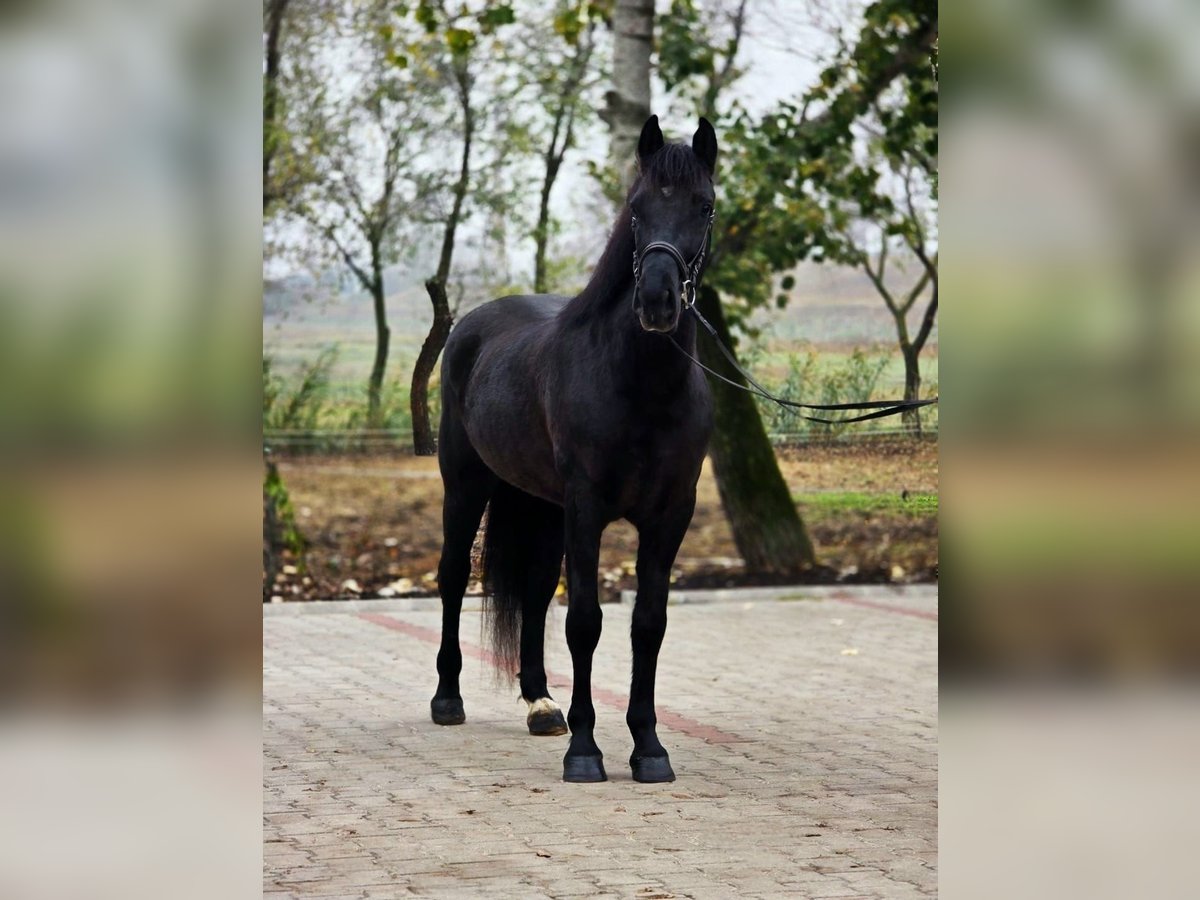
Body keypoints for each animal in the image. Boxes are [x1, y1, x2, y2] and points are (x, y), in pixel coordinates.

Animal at [430, 115, 718, 783]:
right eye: (636, 208)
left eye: (705, 206)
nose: (657, 302)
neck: (641, 387)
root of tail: (470, 327)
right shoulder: (586, 507)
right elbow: (585, 621)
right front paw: (585, 751)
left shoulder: (670, 516)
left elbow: (648, 624)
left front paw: (649, 748)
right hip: (467, 486)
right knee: (454, 575)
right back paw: (448, 699)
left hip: (540, 504)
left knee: (535, 591)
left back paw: (540, 703)